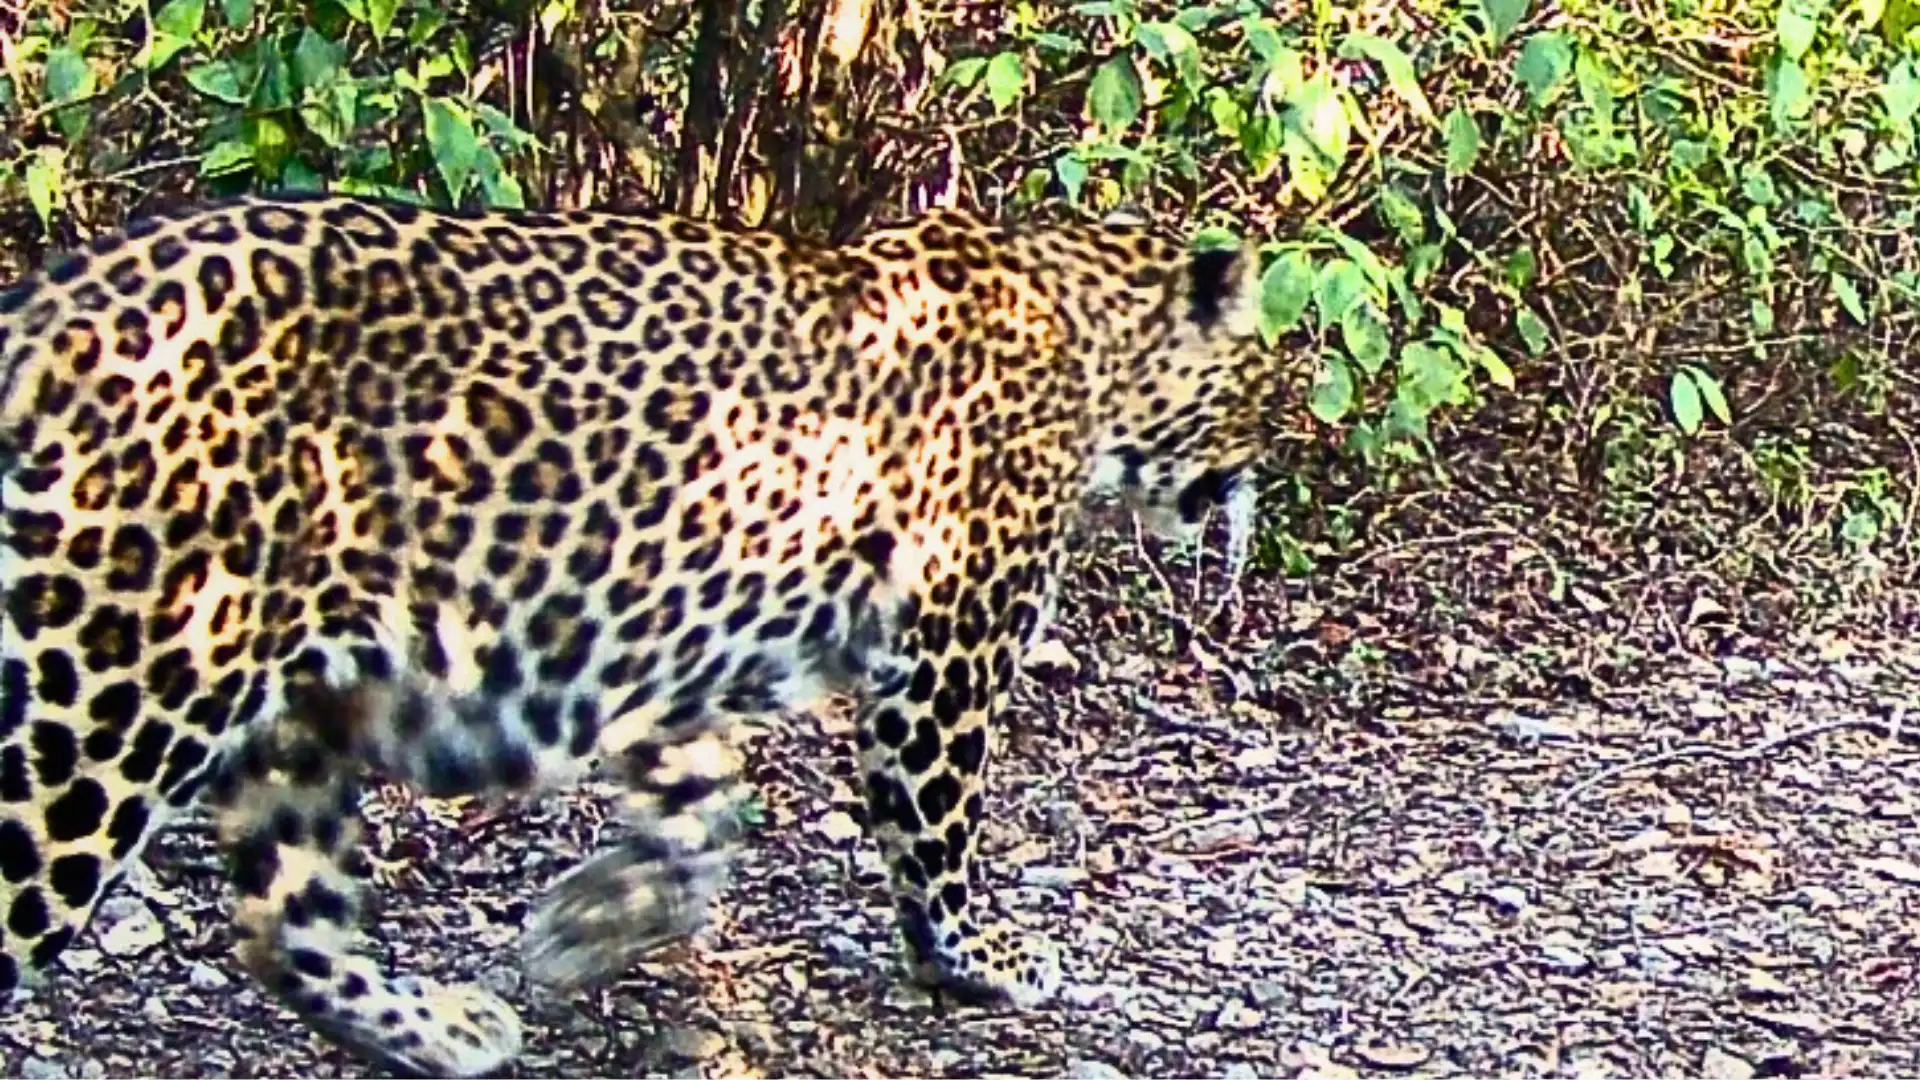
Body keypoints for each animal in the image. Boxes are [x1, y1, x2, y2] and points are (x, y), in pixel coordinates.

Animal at [0, 192, 1287, 1076]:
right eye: (1258, 384)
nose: (1263, 473)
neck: (1083, 332)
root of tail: (43, 315)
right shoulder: (948, 654)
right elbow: (938, 827)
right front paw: (983, 964)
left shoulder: (667, 649)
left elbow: (702, 811)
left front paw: (584, 927)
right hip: (107, 698)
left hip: (285, 714)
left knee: (288, 923)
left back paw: (442, 1029)